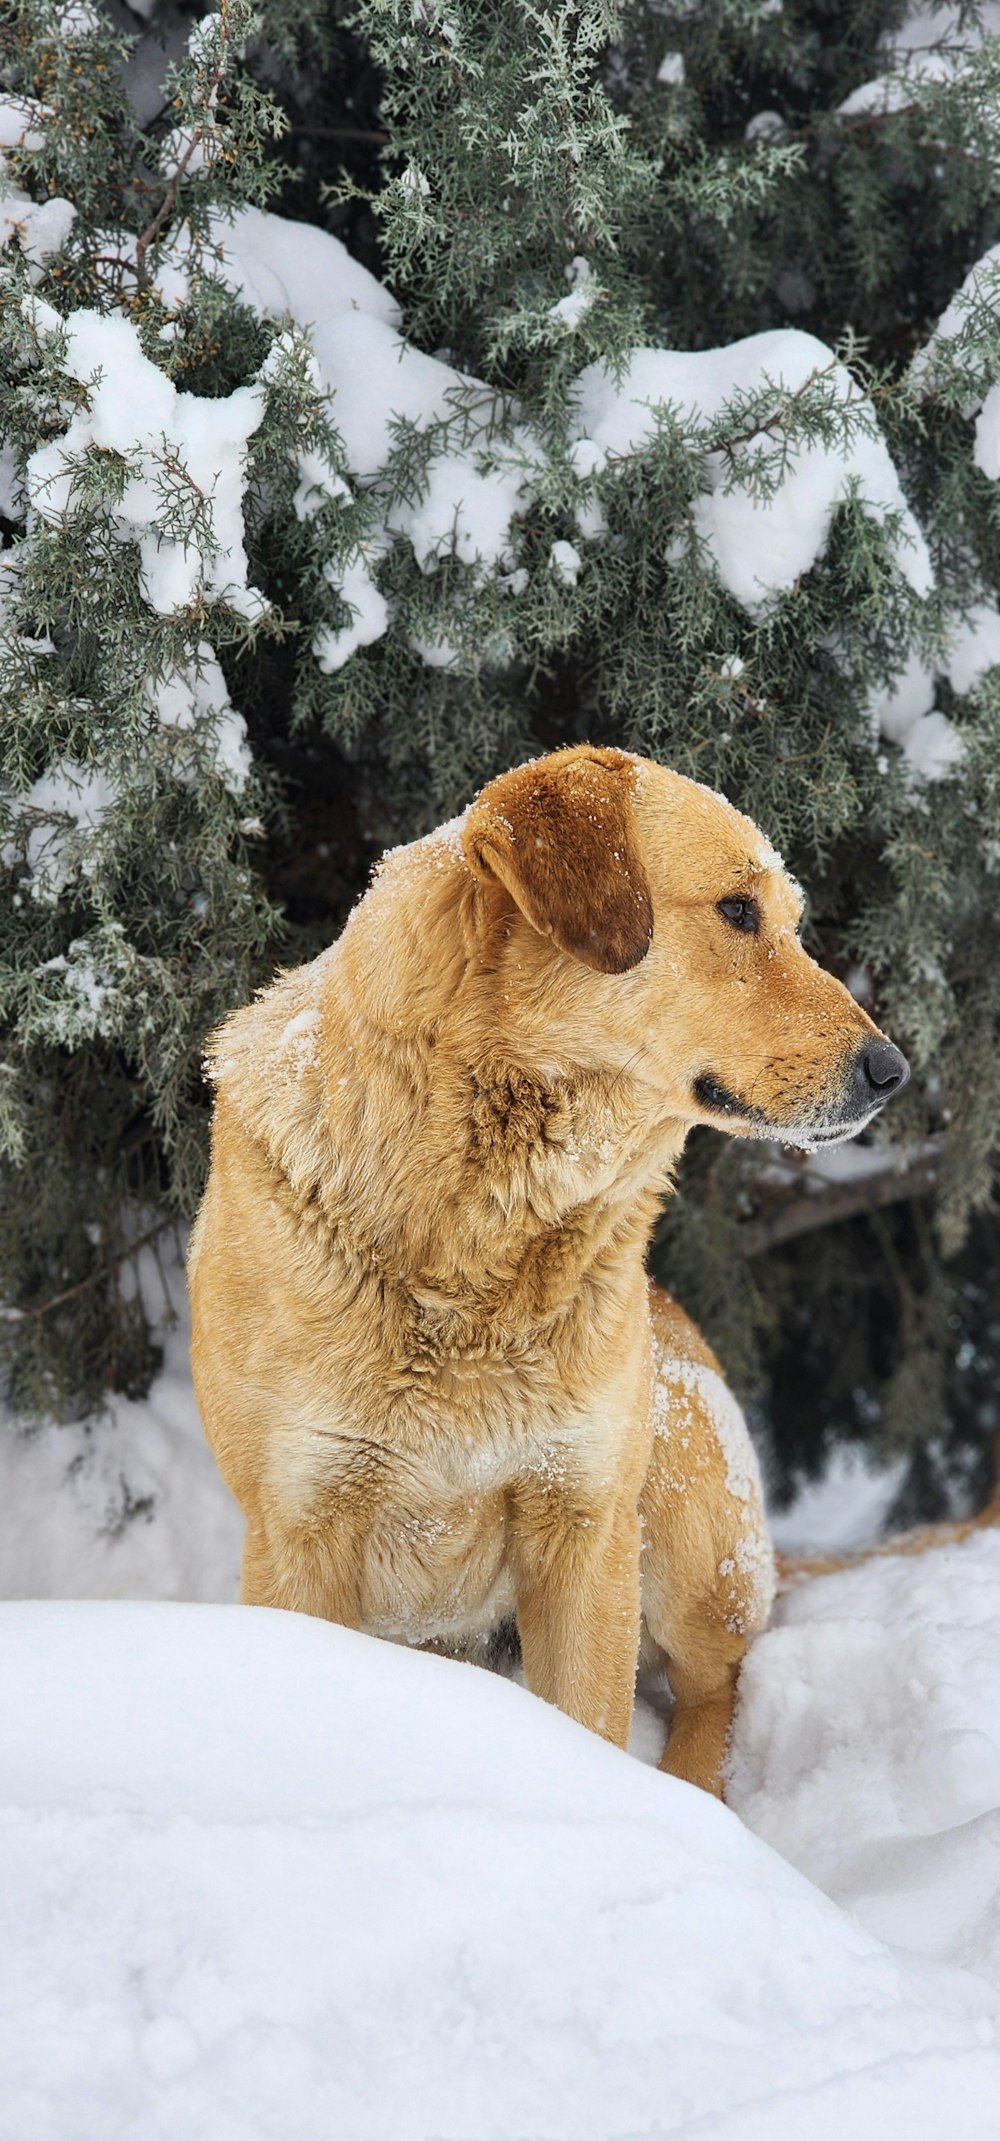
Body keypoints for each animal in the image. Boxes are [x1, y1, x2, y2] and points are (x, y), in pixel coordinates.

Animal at [188, 749, 907, 1789]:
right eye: (738, 910)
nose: (894, 1072)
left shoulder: (582, 1526)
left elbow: (593, 1731)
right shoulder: (299, 1530)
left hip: (671, 1478)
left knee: (719, 1682)